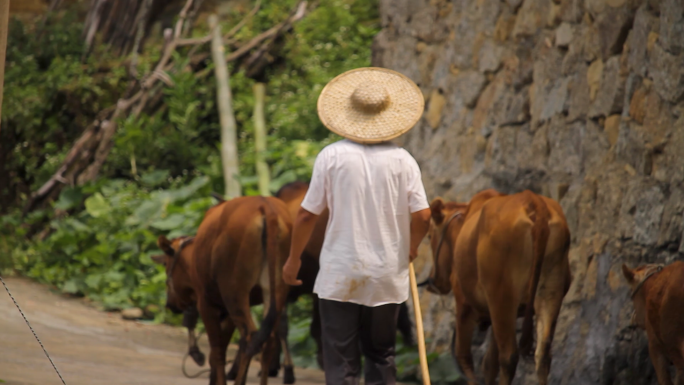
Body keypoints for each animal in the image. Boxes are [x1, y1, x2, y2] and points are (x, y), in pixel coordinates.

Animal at [156, 196, 292, 384]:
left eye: (165, 264)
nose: (170, 304)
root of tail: (266, 206)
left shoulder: (207, 304)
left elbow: (217, 352)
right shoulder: (227, 312)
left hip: (234, 293)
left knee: (250, 337)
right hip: (275, 291)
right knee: (268, 341)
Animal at [428, 189, 572, 384]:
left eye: (429, 236)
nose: (433, 281)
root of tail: (533, 201)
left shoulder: (464, 306)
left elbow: (465, 360)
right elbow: (489, 363)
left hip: (501, 297)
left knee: (508, 357)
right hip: (549, 291)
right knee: (542, 355)